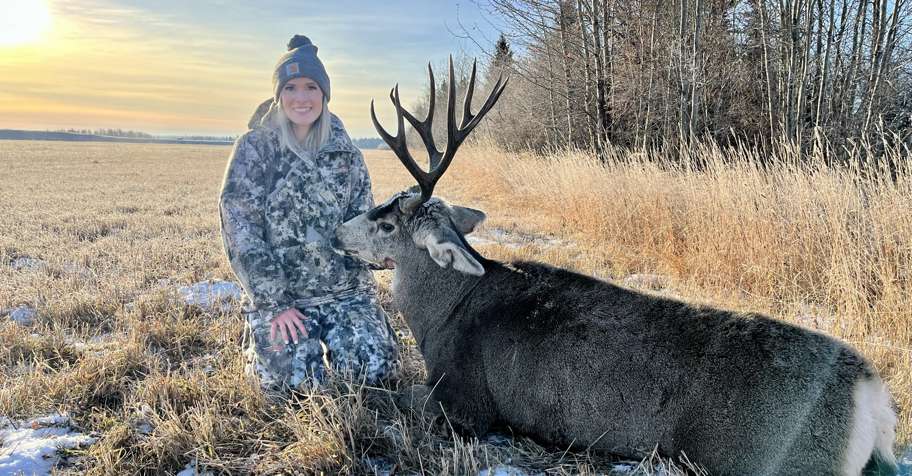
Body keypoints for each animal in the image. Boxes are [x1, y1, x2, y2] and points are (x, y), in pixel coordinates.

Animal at [332, 59, 898, 476]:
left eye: (387, 223)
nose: (337, 231)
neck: (443, 315)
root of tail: (870, 391)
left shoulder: (464, 399)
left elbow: (385, 397)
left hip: (767, 458)